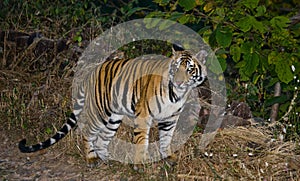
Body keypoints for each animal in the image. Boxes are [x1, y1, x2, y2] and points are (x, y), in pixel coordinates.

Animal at [18, 44, 206, 167]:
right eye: (176, 68)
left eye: (189, 69)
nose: (179, 82)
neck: (176, 94)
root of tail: (92, 71)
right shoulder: (143, 114)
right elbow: (142, 141)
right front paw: (140, 164)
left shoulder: (170, 118)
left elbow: (166, 139)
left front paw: (168, 157)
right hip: (99, 113)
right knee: (88, 133)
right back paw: (91, 159)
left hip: (114, 118)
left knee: (102, 138)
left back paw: (108, 159)